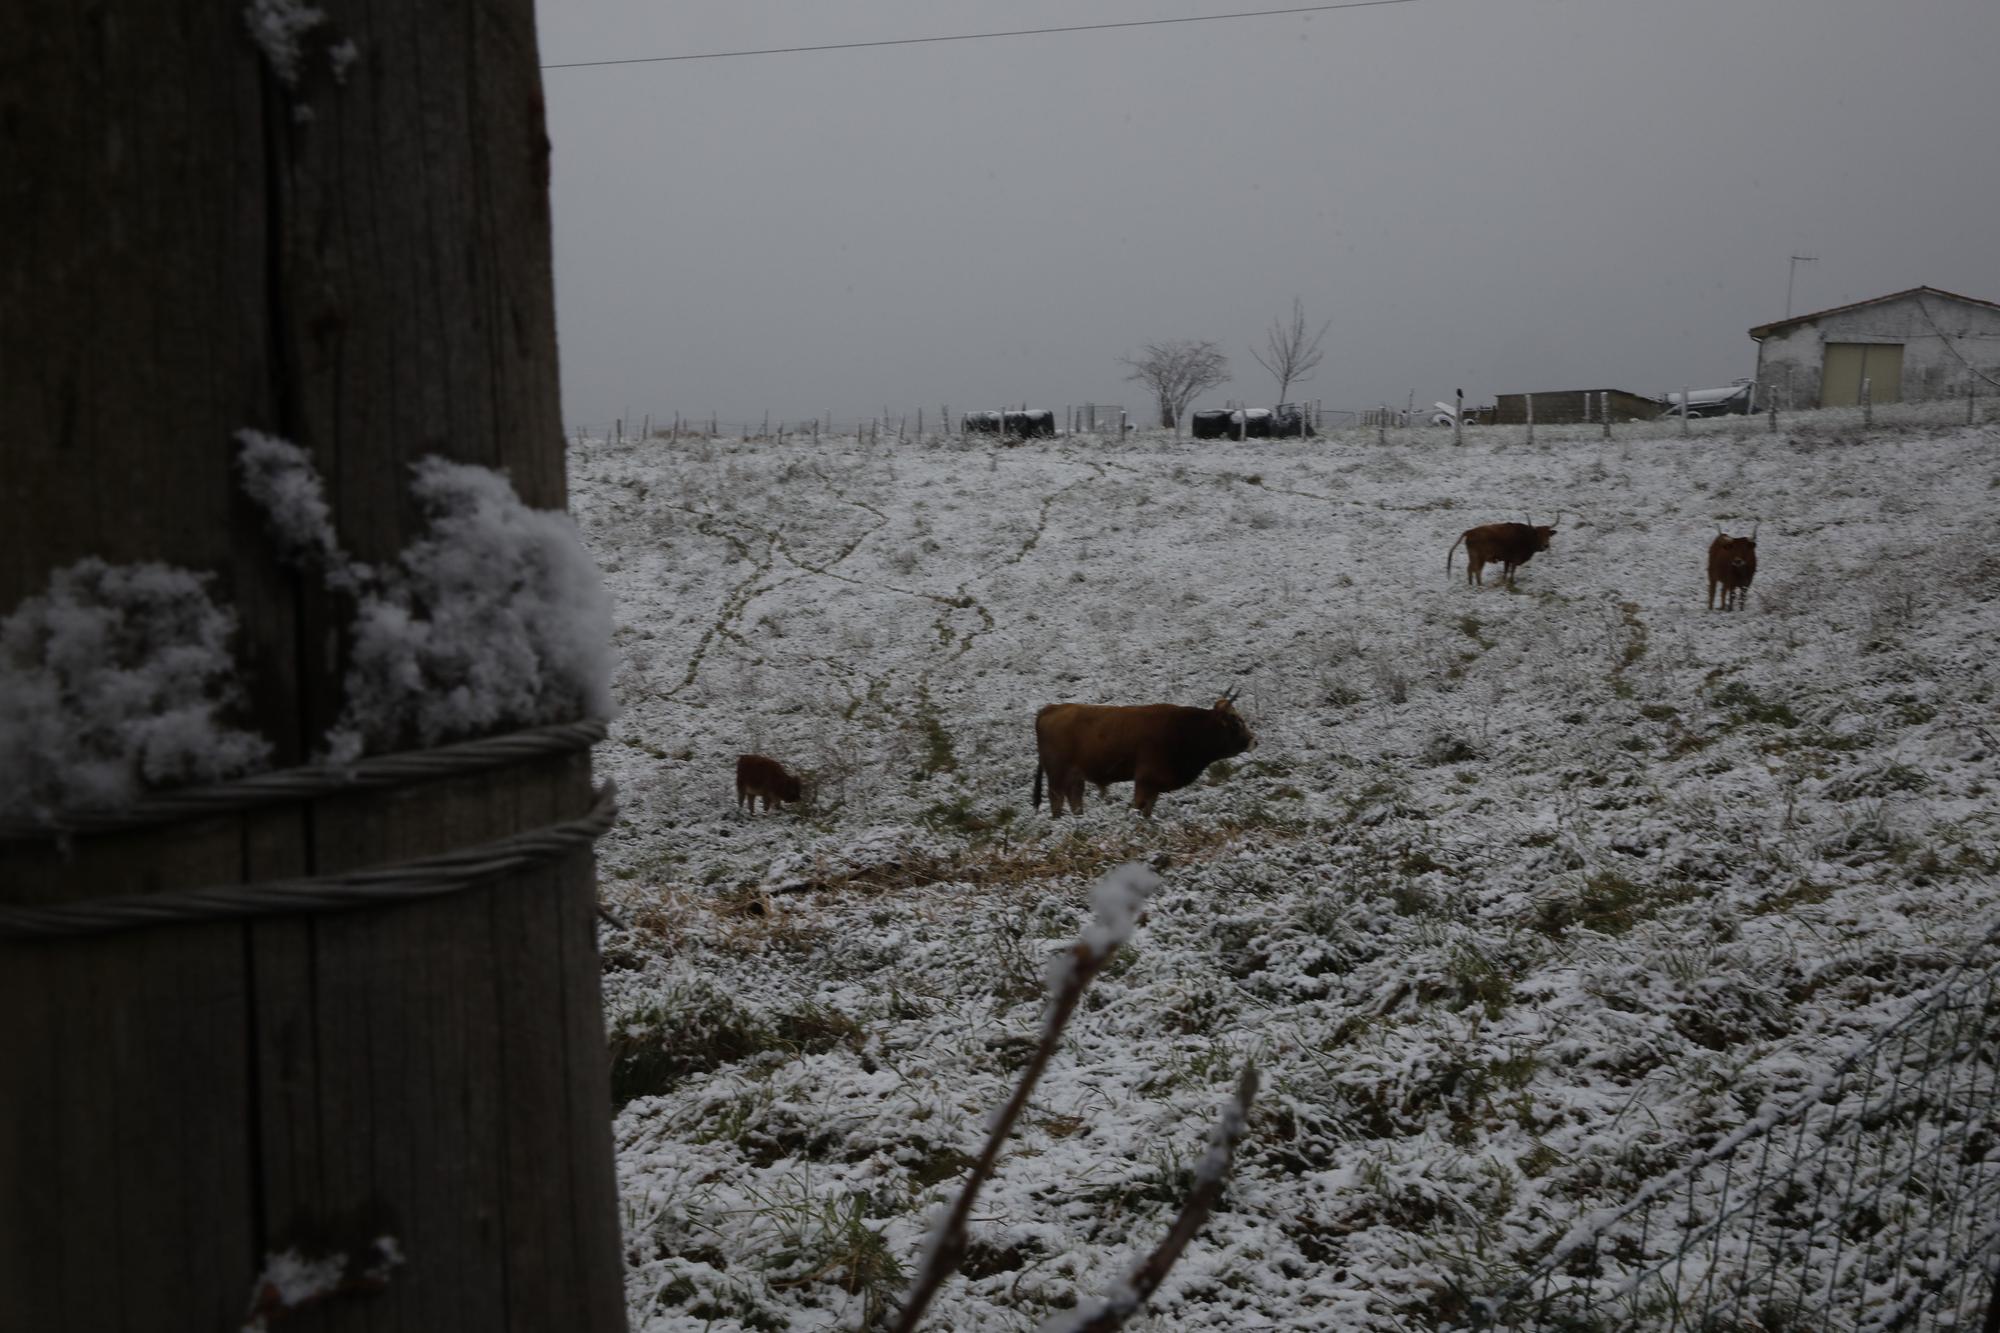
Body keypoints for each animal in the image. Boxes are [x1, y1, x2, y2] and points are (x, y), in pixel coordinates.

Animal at [1032, 688, 1248, 816]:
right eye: (1236, 722)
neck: (1182, 728)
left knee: (1074, 797)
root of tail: (1052, 708)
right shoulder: (1145, 779)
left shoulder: (1154, 785)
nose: (1253, 740)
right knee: (1056, 799)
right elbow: (1139, 805)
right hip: (1057, 775)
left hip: (1075, 777)